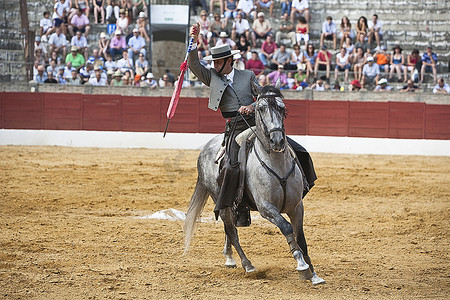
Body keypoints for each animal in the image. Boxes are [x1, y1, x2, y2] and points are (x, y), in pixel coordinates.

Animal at [183, 83, 324, 284]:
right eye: (261, 108)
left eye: (282, 108)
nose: (277, 140)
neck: (277, 163)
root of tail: (205, 149)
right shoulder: (266, 208)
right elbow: (286, 227)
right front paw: (301, 265)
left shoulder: (297, 206)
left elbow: (301, 237)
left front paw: (313, 274)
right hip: (220, 200)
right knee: (231, 231)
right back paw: (248, 265)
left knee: (230, 228)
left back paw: (229, 257)